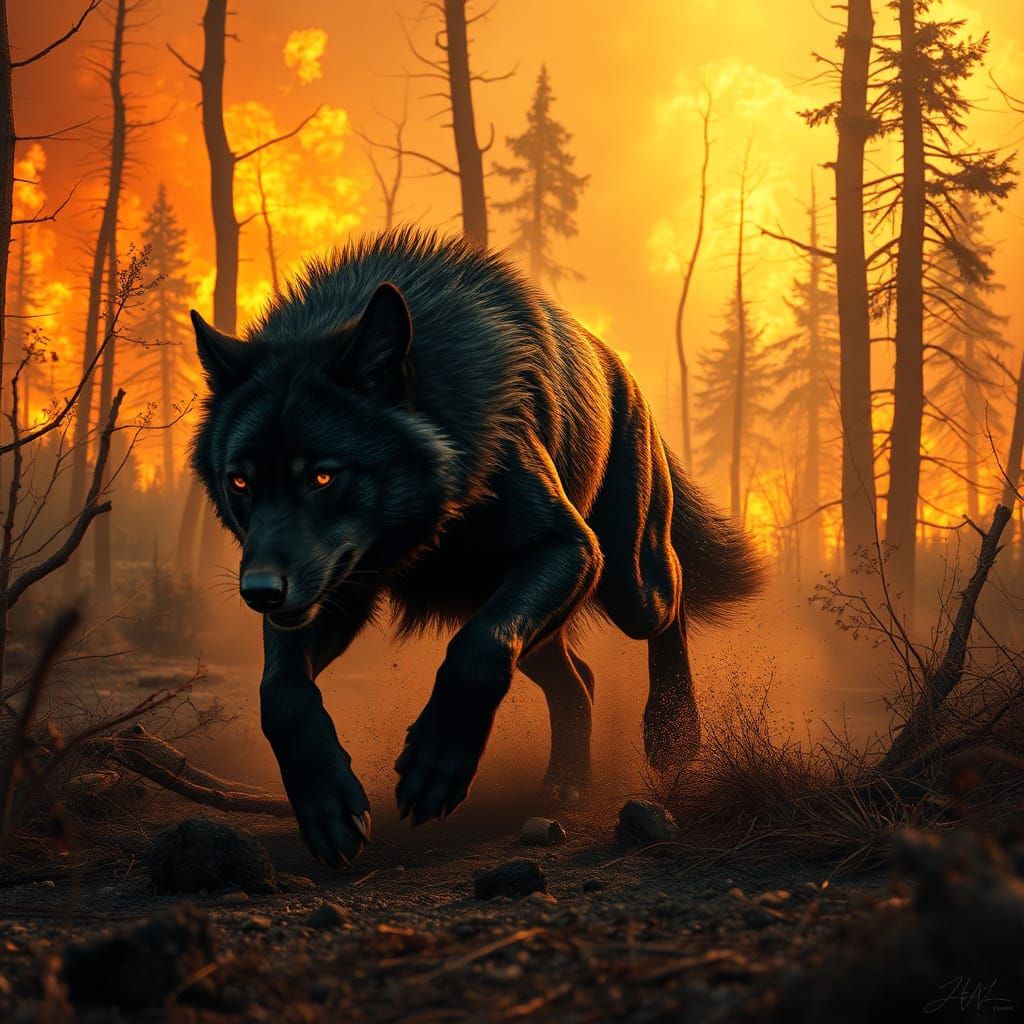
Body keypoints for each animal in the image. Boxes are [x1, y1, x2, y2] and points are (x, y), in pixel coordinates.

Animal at [190, 228, 762, 866]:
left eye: (322, 476)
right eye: (241, 482)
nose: (259, 592)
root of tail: (619, 366)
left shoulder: (568, 547)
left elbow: (476, 648)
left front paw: (436, 765)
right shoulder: (331, 597)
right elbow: (281, 692)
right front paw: (328, 807)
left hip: (626, 583)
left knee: (672, 595)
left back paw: (672, 733)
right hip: (530, 619)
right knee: (581, 678)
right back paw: (566, 784)